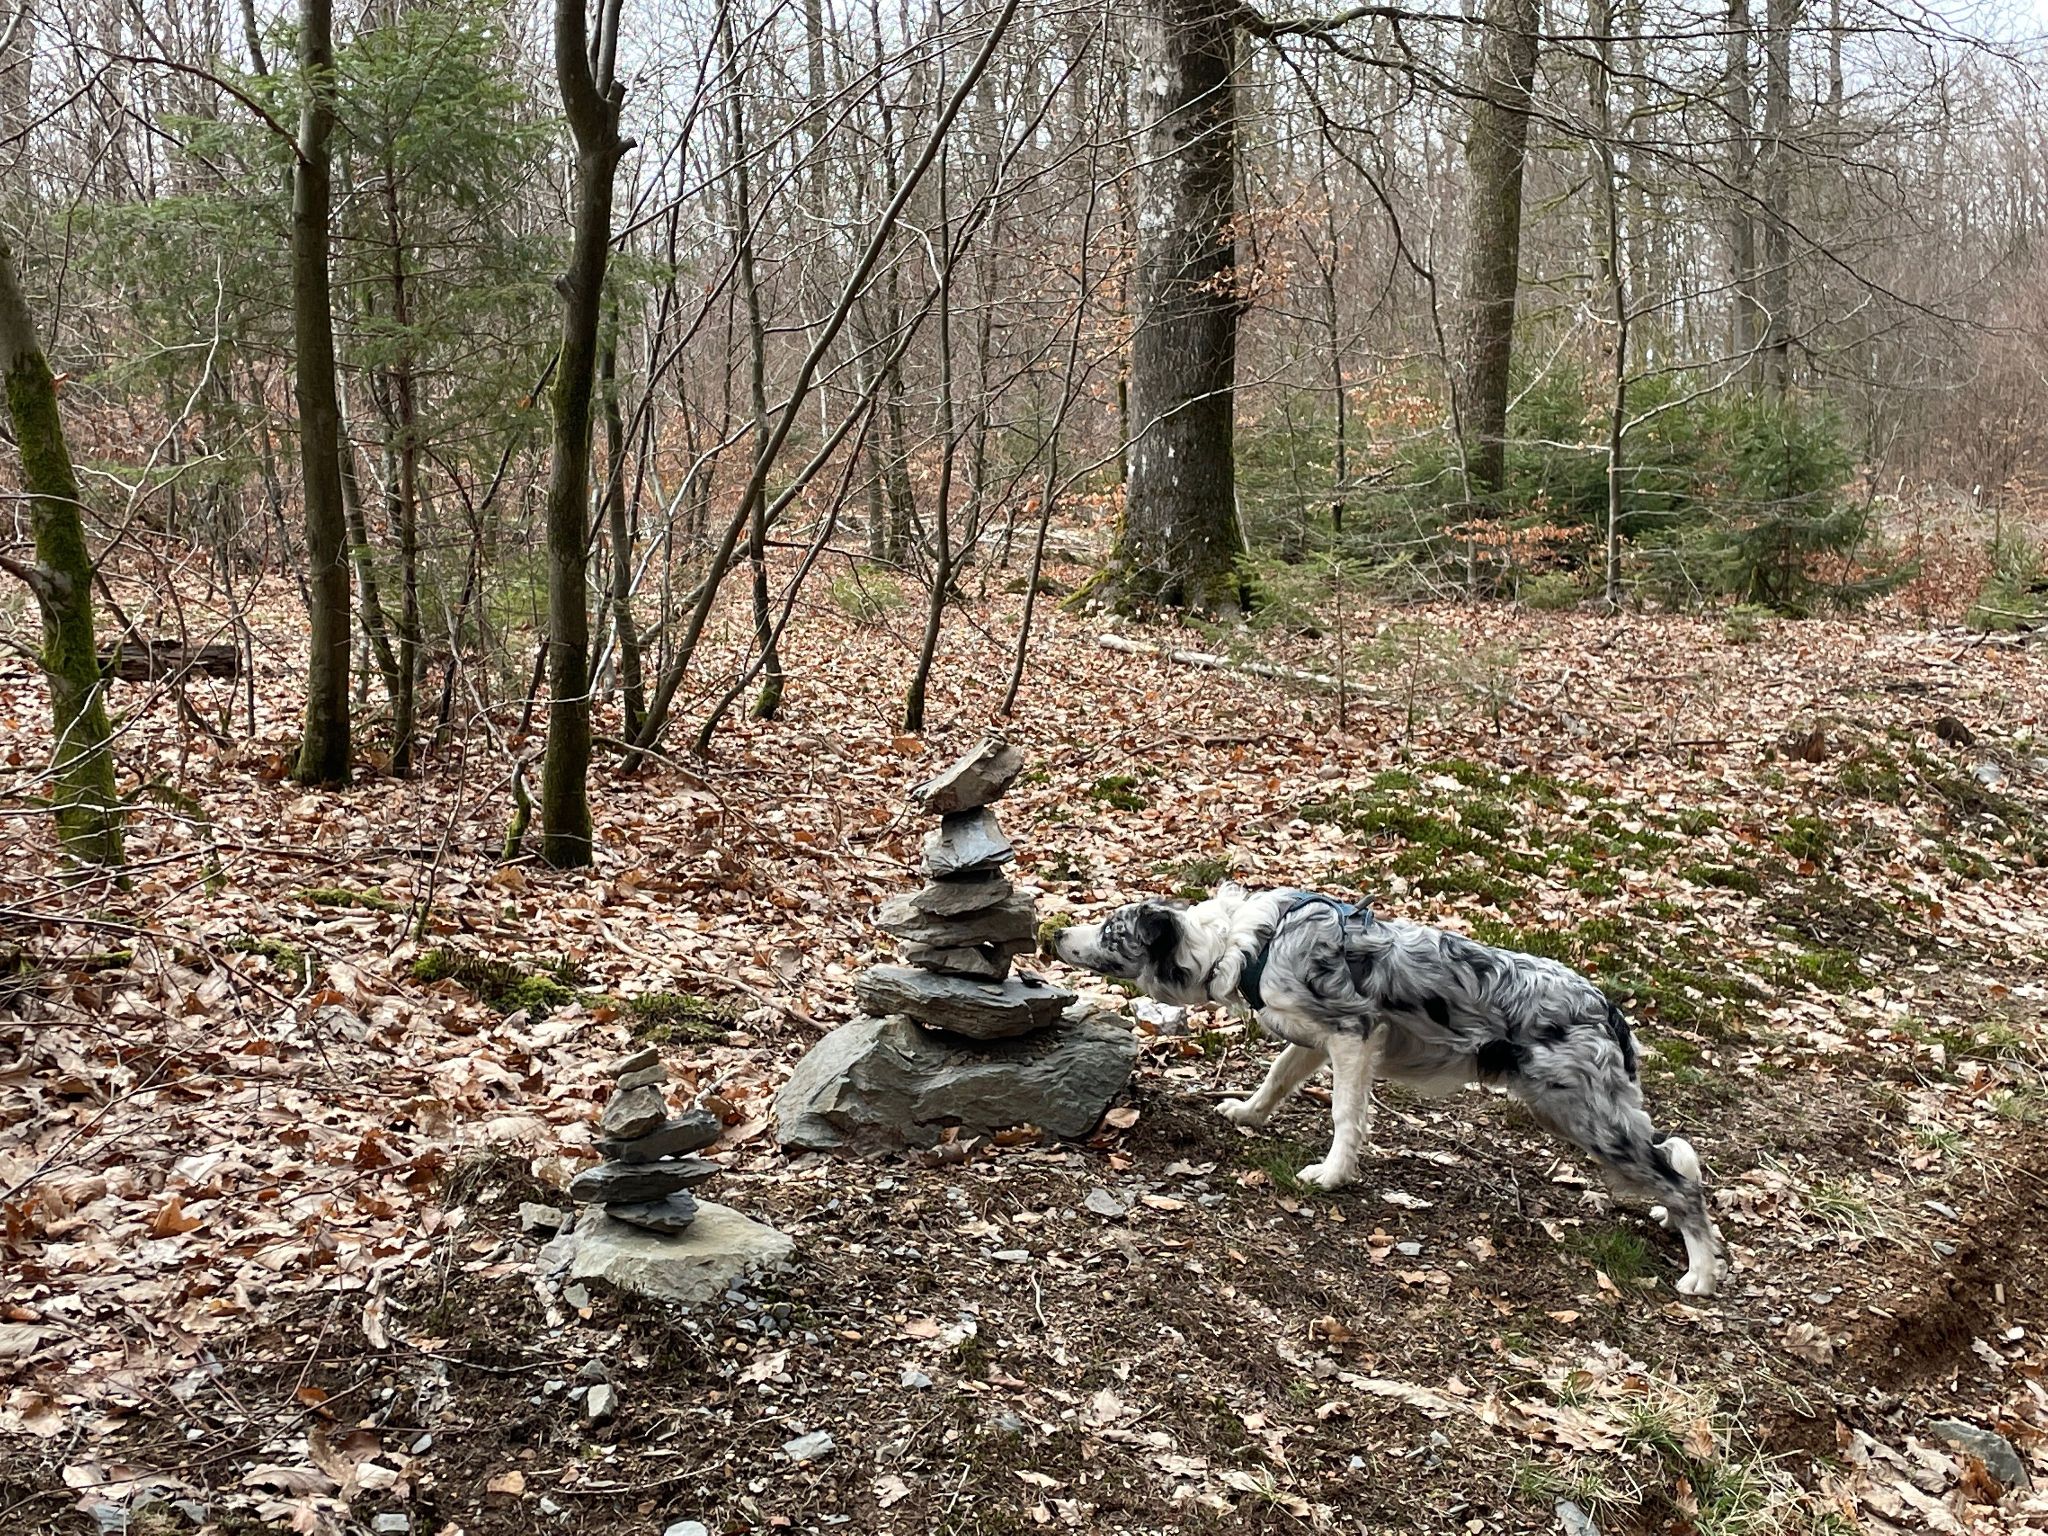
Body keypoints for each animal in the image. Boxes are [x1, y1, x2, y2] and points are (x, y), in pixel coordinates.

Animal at [1051, 884, 1728, 1295]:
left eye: (1110, 931)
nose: (1057, 932)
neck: (1243, 947)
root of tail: (1608, 1009)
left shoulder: (1354, 1034)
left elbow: (1345, 1117)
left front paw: (1330, 1176)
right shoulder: (1311, 1038)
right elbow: (1276, 1079)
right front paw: (1247, 1113)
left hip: (1579, 1110)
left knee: (1683, 1180)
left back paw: (1700, 1273)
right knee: (1673, 1159)